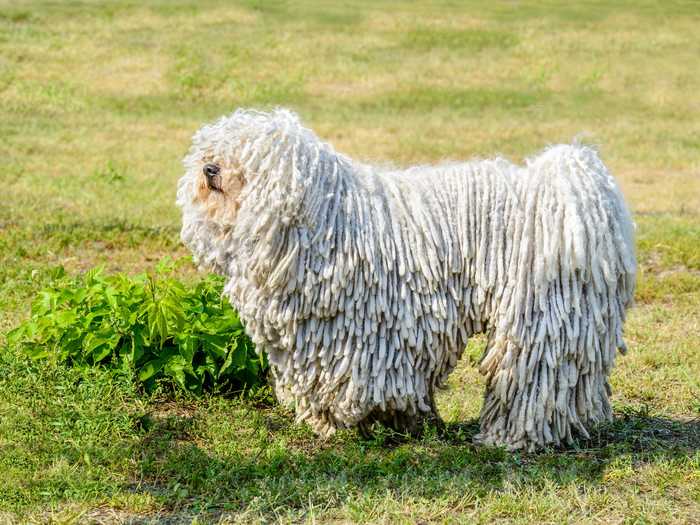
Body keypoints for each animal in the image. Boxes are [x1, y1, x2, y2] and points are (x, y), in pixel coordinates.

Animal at [178, 107, 636, 450]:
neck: (322, 219)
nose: (209, 168)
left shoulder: (364, 334)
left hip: (538, 315)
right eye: (212, 148)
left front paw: (361, 423)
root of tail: (576, 192)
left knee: (533, 377)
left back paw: (512, 437)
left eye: (248, 156)